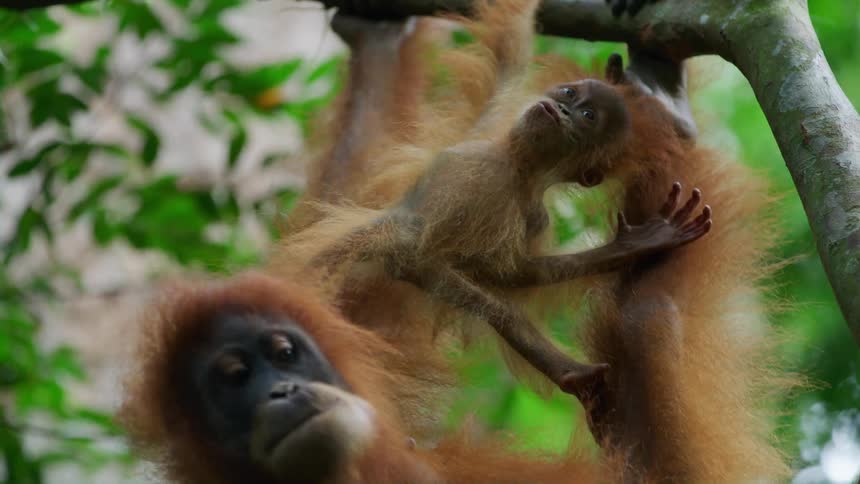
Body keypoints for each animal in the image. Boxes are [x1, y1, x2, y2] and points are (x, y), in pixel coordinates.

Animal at [291, 0, 711, 402]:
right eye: (569, 94)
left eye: (588, 115)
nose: (561, 109)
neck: (517, 166)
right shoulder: (486, 145)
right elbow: (508, 59)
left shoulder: (531, 213)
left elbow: (506, 272)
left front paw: (632, 247)